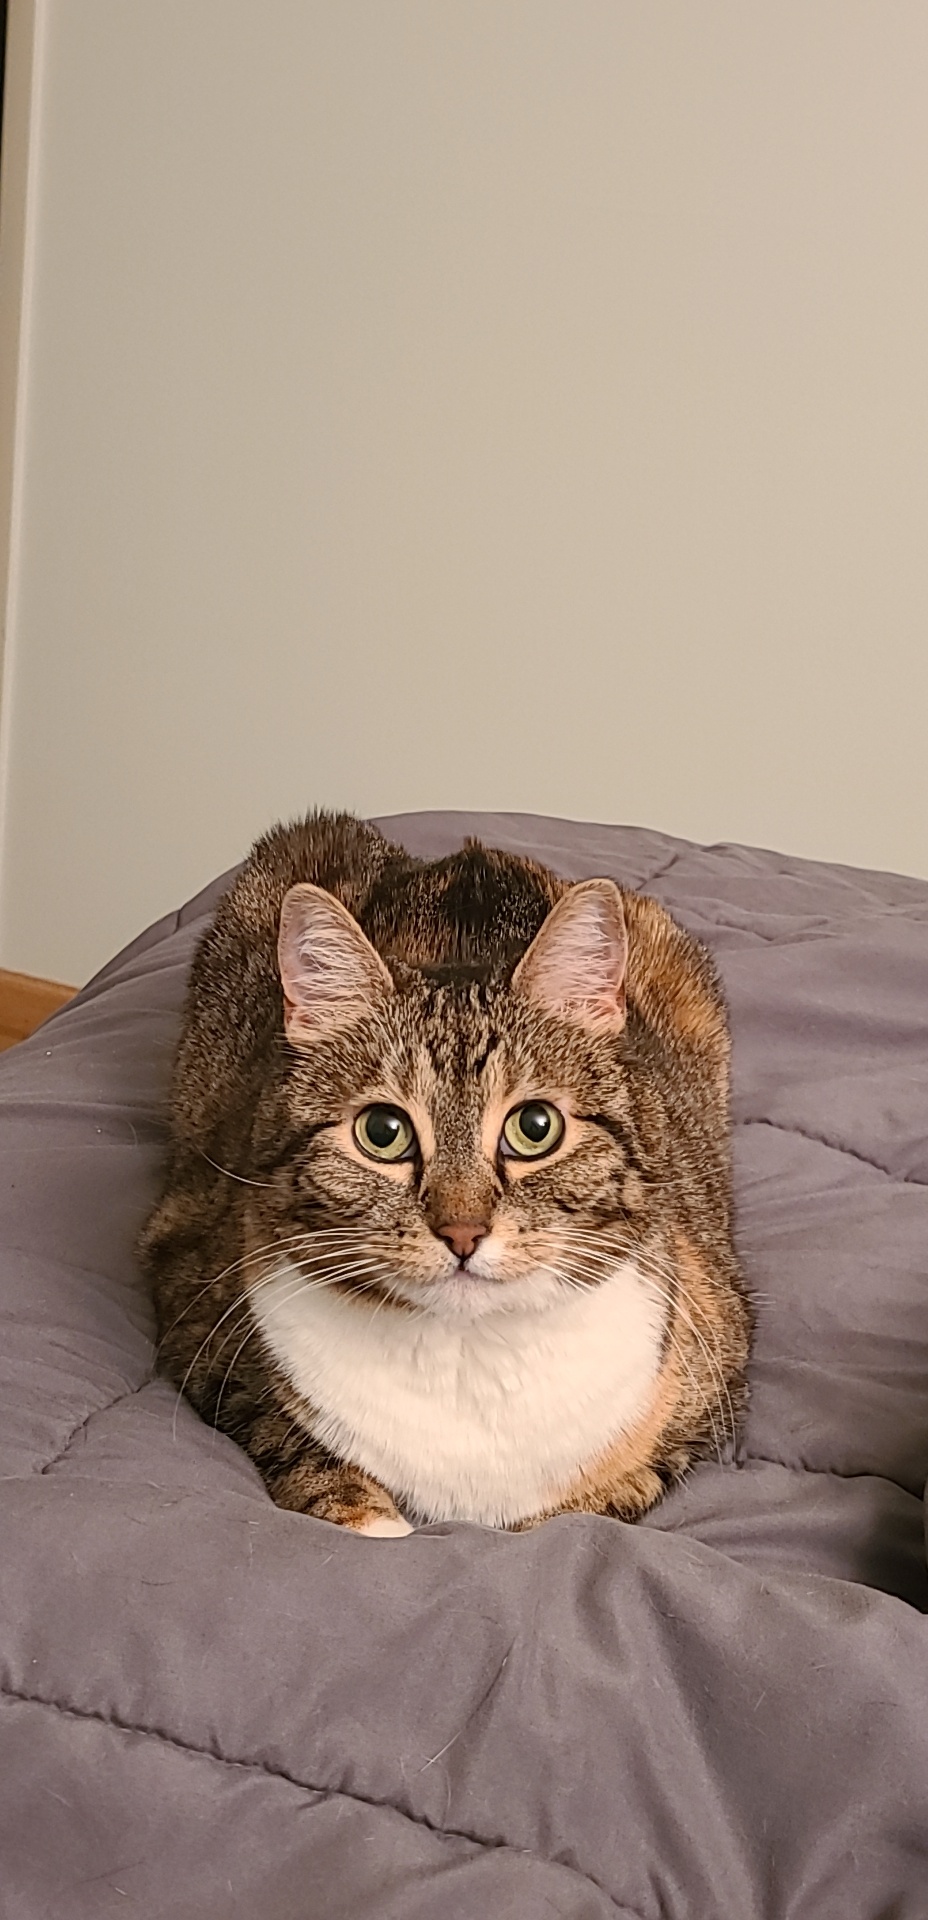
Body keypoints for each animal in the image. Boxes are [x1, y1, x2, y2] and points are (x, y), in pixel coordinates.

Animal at [140, 812, 752, 1536]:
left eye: (536, 1126)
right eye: (382, 1132)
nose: (463, 1231)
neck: (467, 1363)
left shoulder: (713, 1364)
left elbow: (605, 1499)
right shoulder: (197, 1301)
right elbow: (294, 1443)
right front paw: (374, 1521)